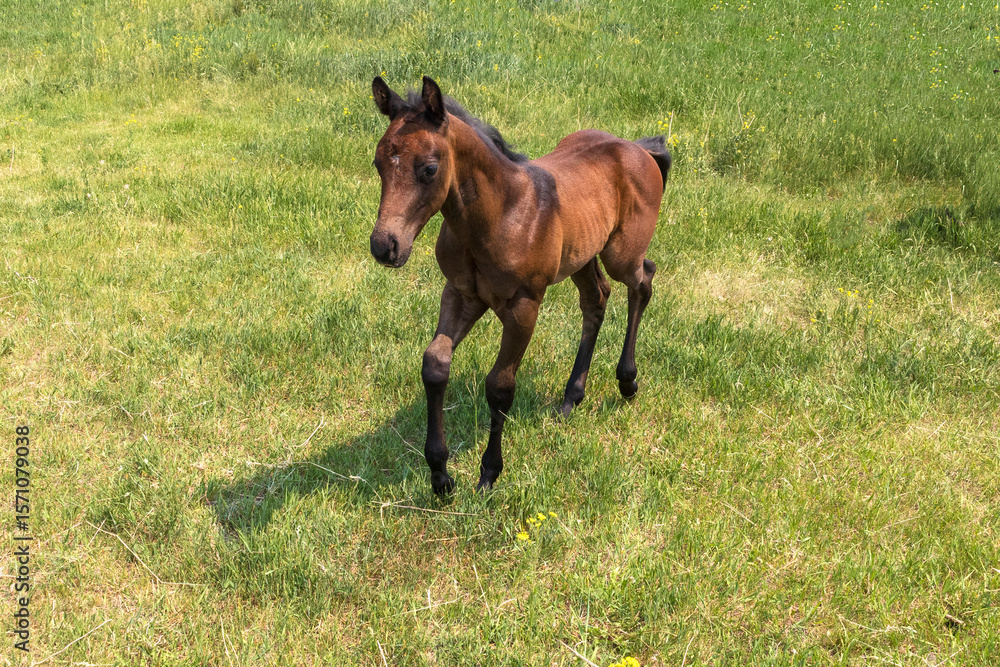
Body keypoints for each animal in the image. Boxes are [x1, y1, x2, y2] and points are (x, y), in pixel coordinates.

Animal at [369, 76, 670, 494]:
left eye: (429, 168)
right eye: (378, 163)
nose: (385, 246)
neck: (501, 214)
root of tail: (639, 148)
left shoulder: (524, 305)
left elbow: (499, 387)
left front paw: (488, 474)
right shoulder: (461, 293)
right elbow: (434, 365)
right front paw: (440, 473)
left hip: (620, 254)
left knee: (643, 281)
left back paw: (627, 381)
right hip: (582, 254)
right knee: (596, 299)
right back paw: (571, 398)